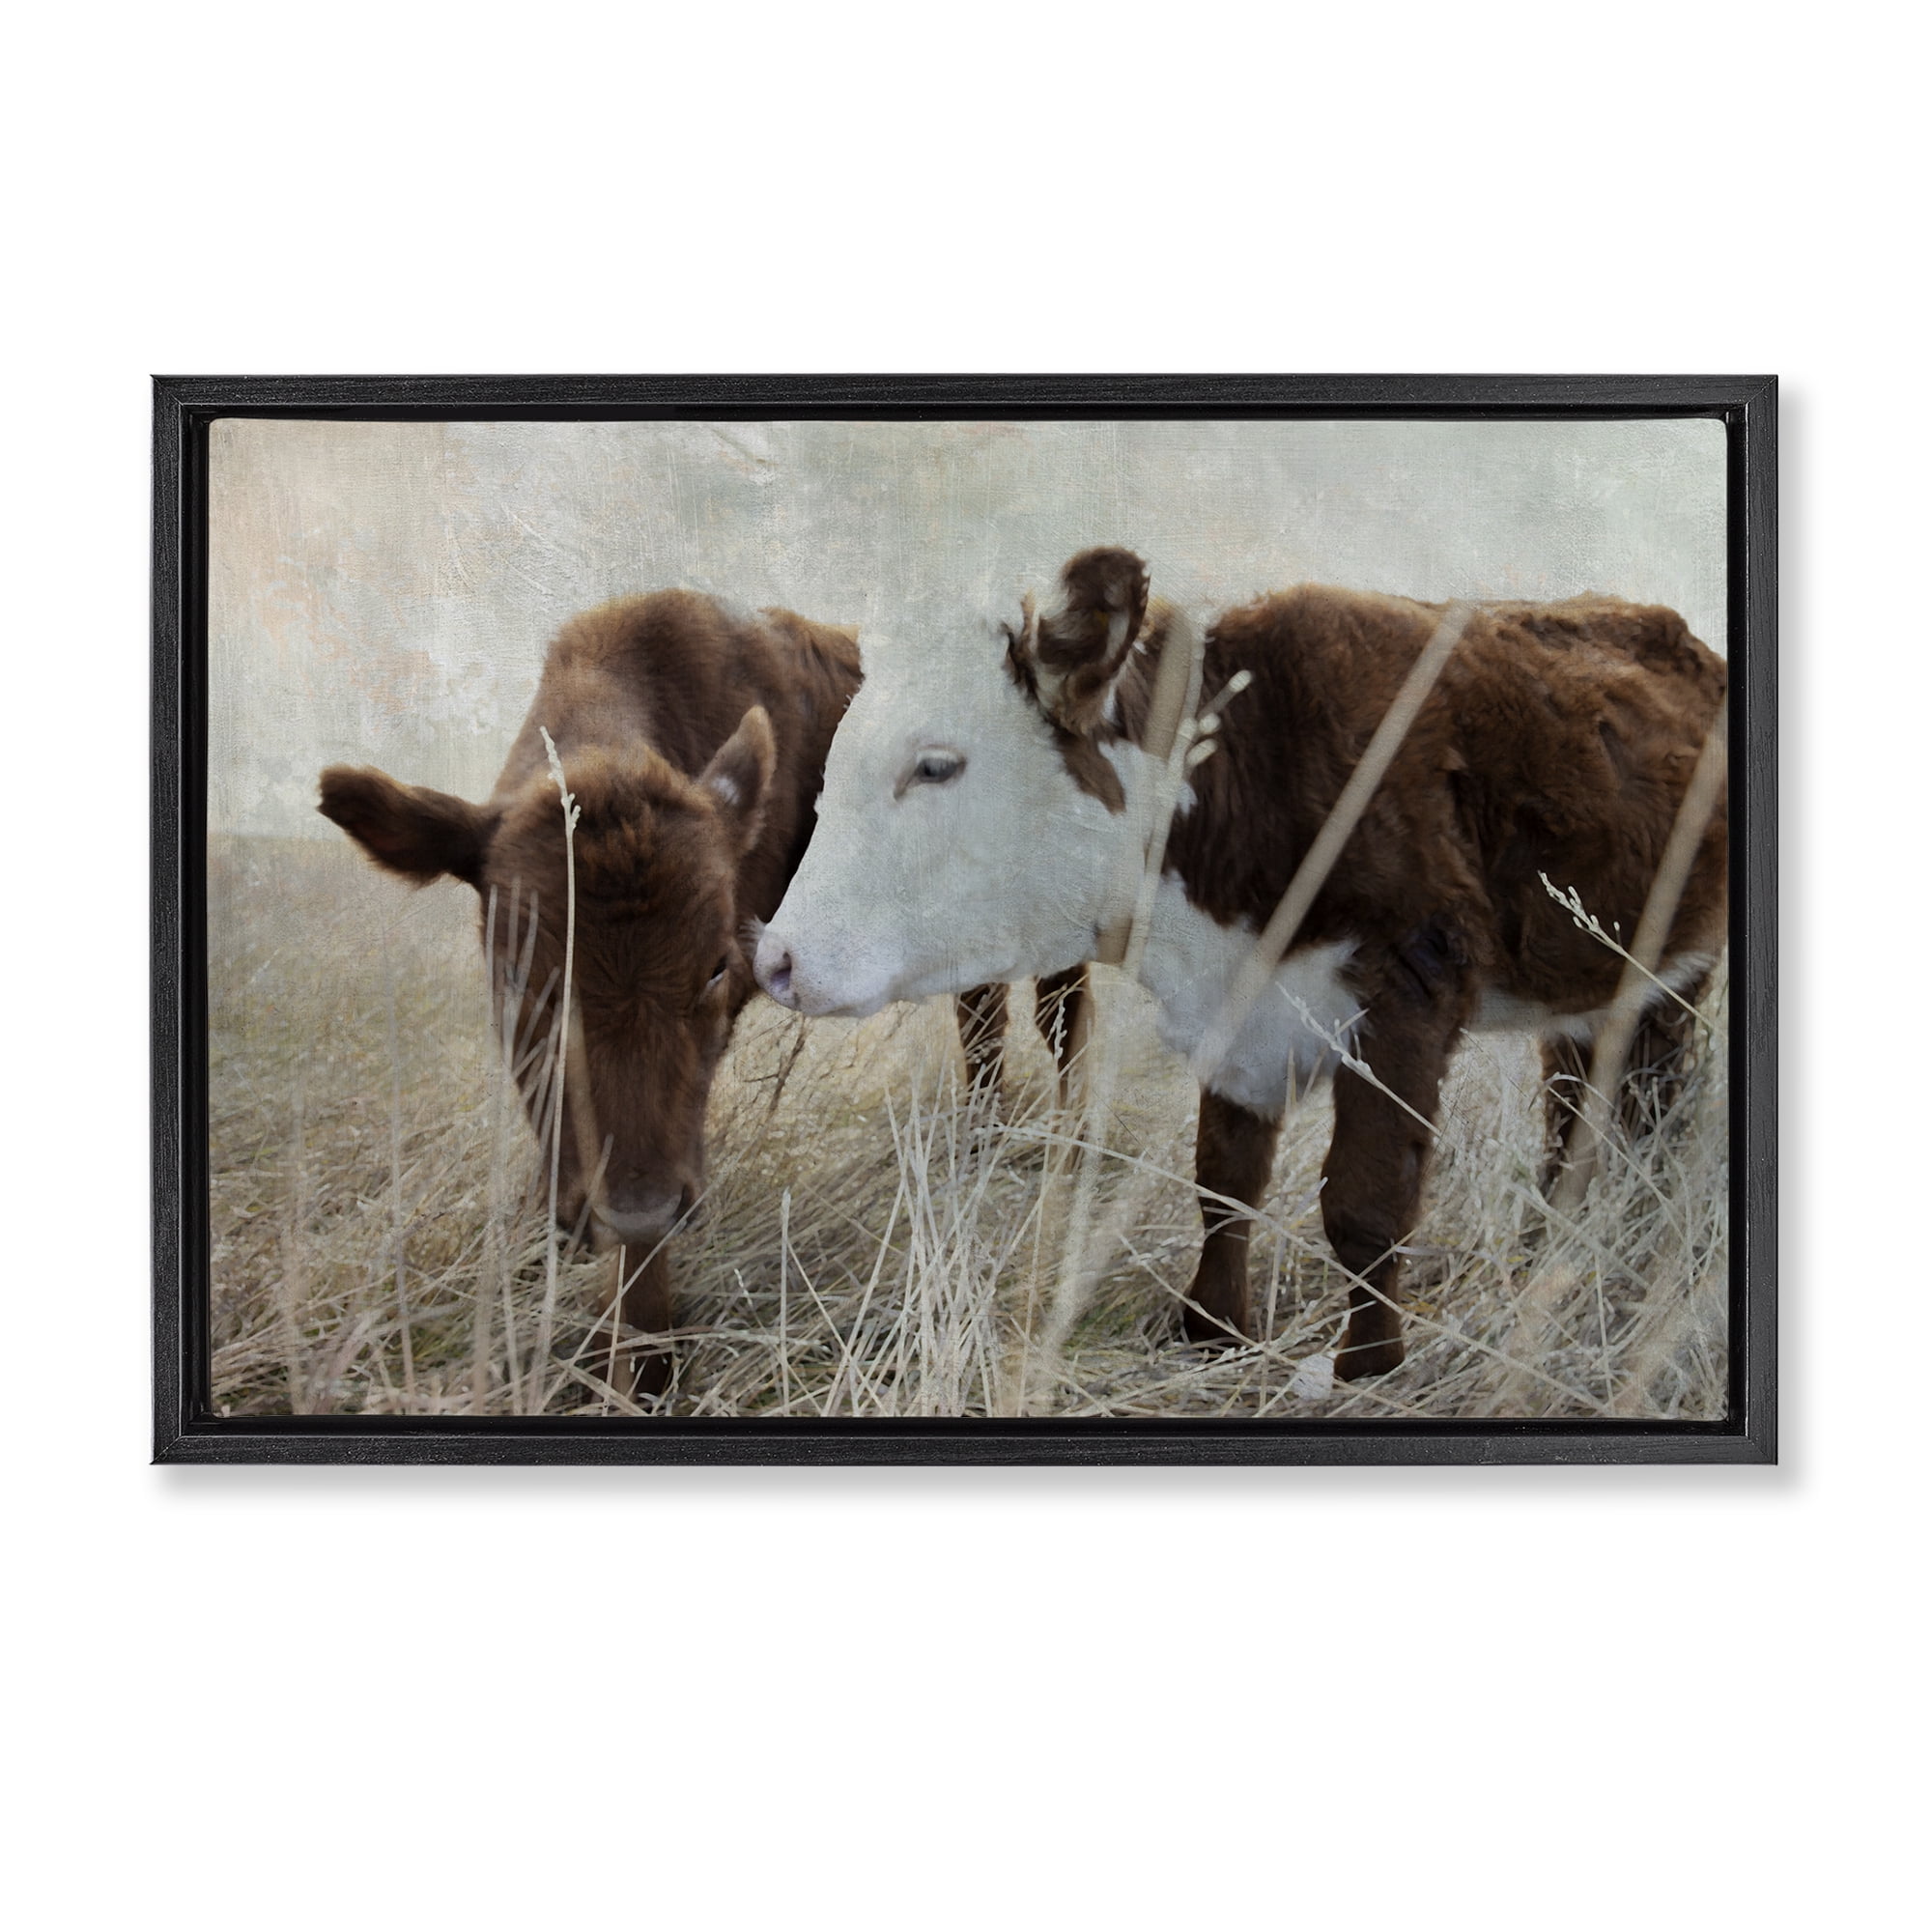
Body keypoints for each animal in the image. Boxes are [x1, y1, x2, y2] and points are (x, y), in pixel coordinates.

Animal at [754, 548, 1728, 1381]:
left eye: (936, 766)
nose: (777, 958)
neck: (1248, 766)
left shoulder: (1409, 984)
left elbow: (1365, 1203)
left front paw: (1367, 1370)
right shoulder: (1237, 1014)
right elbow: (1223, 1180)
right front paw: (1212, 1331)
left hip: (1673, 977)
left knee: (1649, 1110)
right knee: (1576, 1117)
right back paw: (1547, 1254)